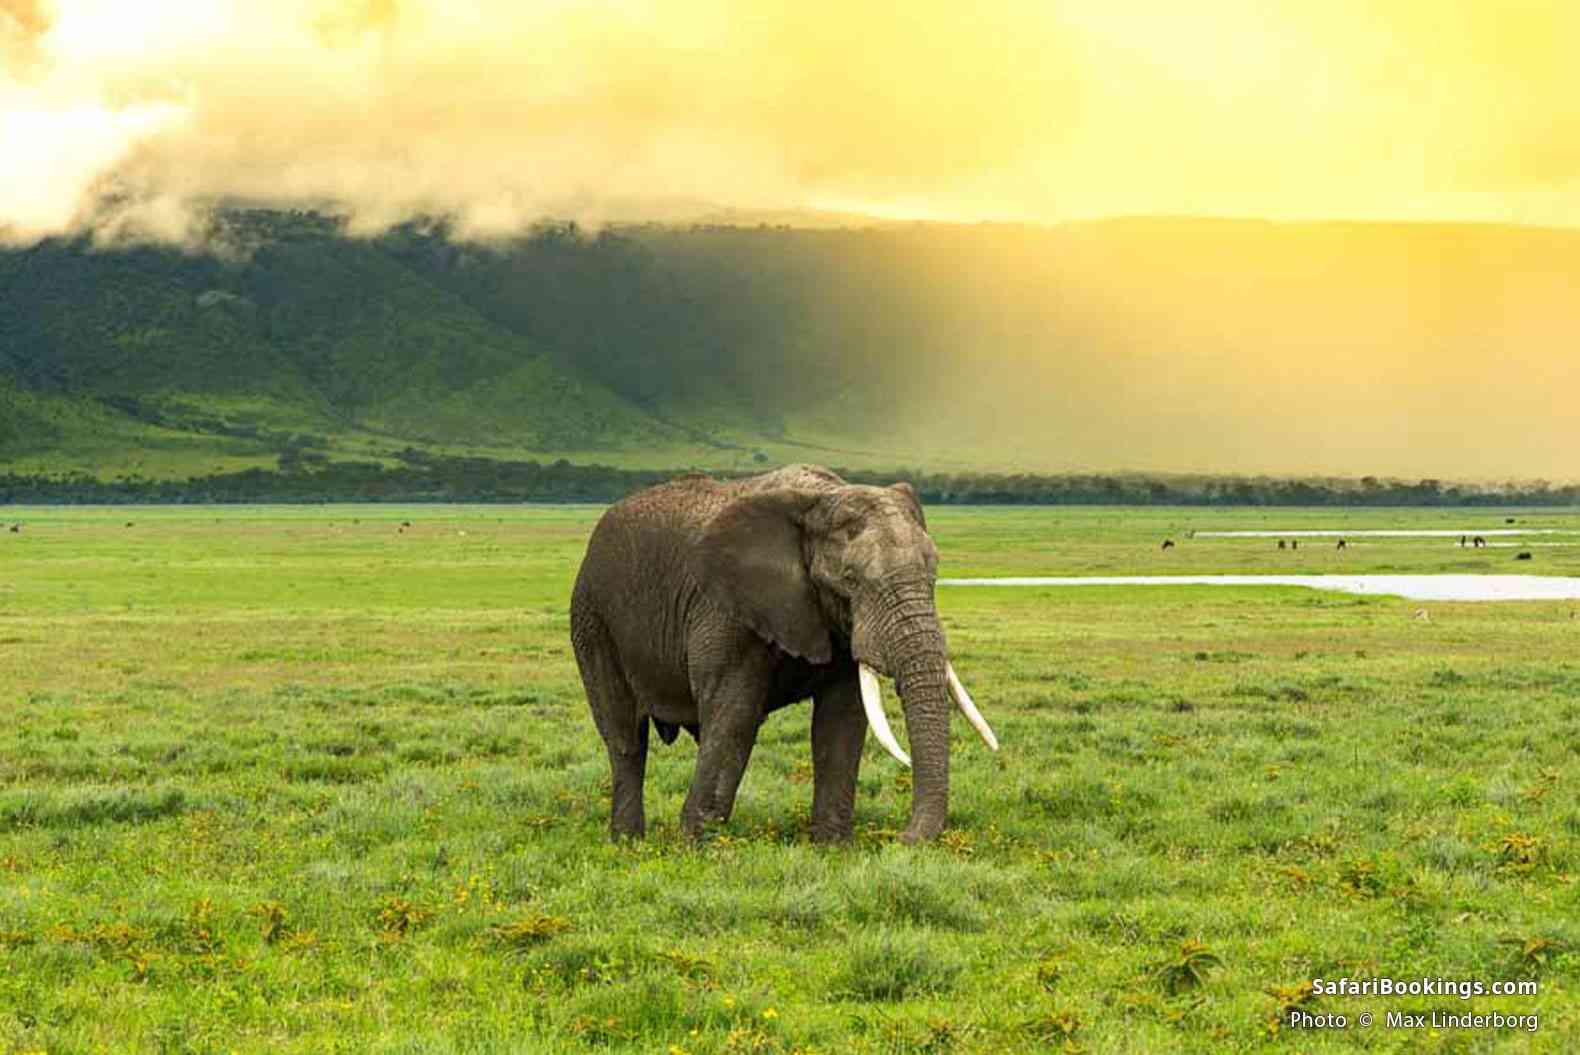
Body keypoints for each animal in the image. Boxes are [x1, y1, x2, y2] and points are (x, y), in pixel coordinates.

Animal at [570, 464, 997, 844]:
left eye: (934, 575)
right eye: (850, 580)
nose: (902, 839)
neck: (820, 498)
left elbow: (841, 718)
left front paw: (833, 847)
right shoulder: (724, 609)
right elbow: (735, 714)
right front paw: (697, 847)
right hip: (593, 619)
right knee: (625, 737)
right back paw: (628, 843)